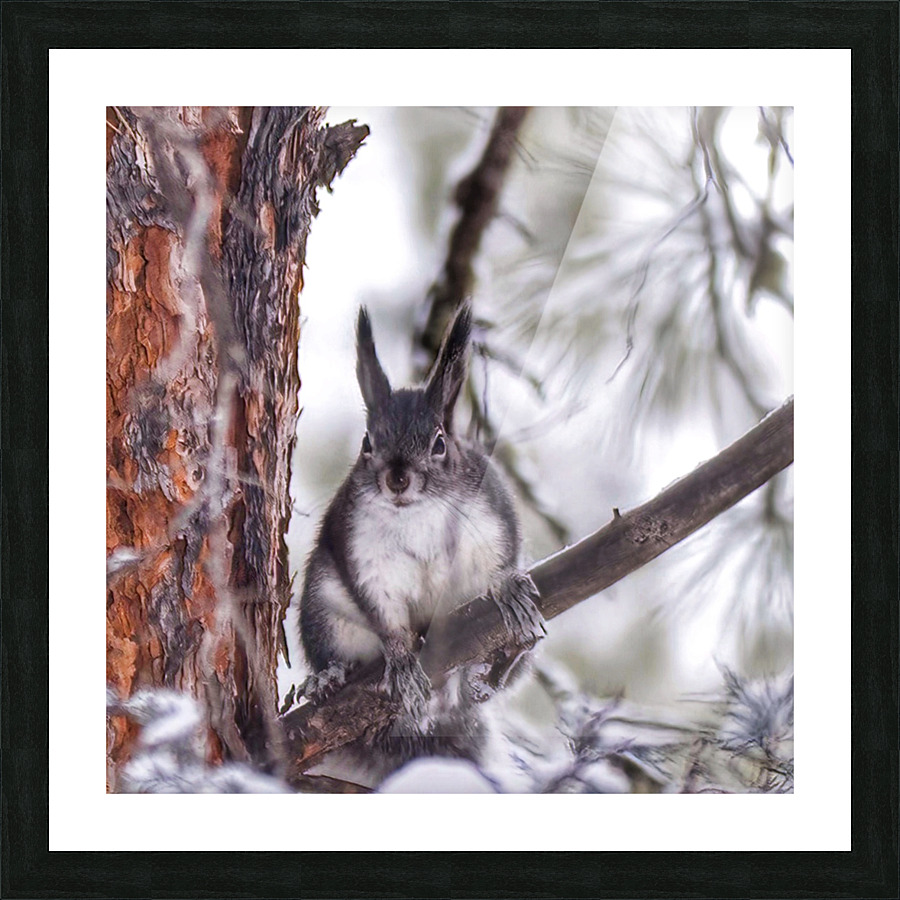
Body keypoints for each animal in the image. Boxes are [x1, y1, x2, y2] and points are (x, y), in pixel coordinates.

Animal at [297, 303, 545, 779]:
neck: (415, 513)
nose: (397, 479)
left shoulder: (491, 517)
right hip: (322, 614)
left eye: (440, 442)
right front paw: (401, 659)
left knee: (493, 682)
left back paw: (499, 661)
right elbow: (383, 612)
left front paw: (507, 585)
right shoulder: (362, 553)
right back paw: (328, 678)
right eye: (367, 442)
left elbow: (501, 557)